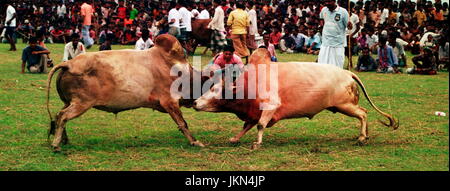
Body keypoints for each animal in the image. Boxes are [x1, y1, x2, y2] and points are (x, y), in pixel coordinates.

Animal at [46, 33, 205, 151]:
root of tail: (69, 64)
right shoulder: (170, 101)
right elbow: (182, 123)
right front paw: (195, 142)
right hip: (82, 103)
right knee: (63, 116)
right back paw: (56, 145)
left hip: (70, 102)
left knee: (58, 115)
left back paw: (64, 140)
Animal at [193, 47, 398, 149]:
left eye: (216, 89)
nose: (195, 102)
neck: (250, 84)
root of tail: (347, 72)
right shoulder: (254, 112)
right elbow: (247, 126)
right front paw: (235, 139)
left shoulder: (270, 107)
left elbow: (260, 125)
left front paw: (257, 144)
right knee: (363, 114)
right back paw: (365, 135)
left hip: (345, 105)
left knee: (363, 113)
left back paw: (362, 137)